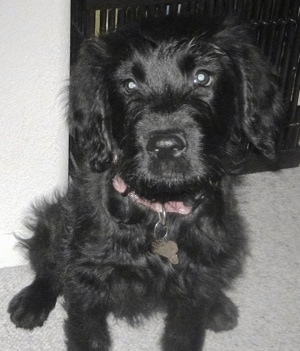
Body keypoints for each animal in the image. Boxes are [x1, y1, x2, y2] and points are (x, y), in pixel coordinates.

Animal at [8, 15, 282, 351]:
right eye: (129, 85)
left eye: (202, 77)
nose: (165, 145)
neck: (159, 209)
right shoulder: (86, 281)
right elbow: (85, 327)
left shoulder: (193, 289)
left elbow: (187, 329)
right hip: (54, 220)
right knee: (49, 266)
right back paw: (31, 301)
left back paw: (219, 306)